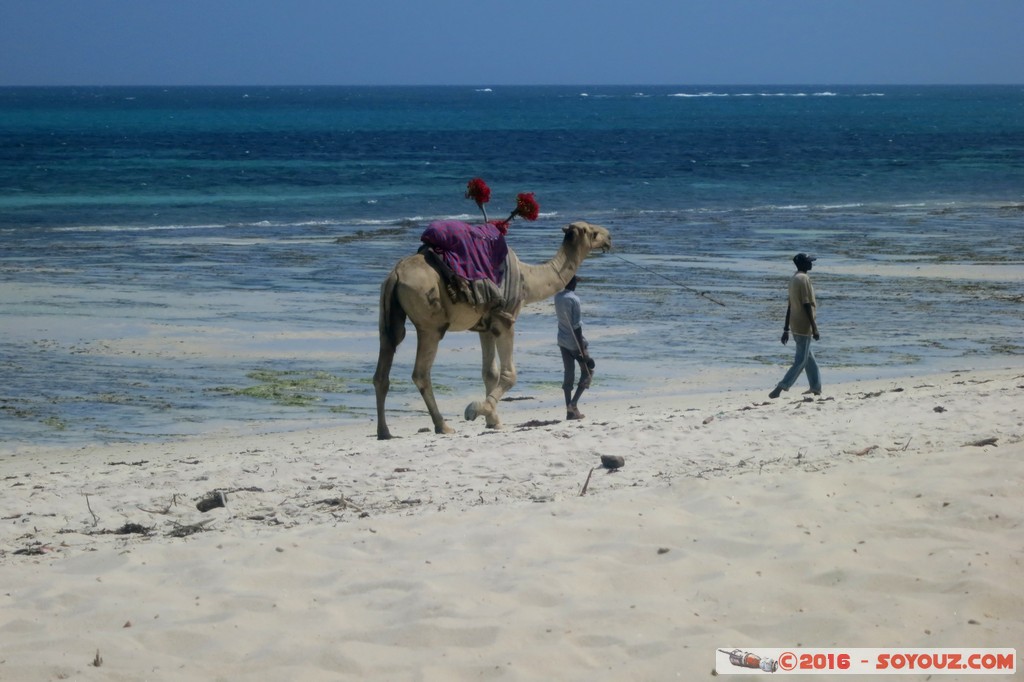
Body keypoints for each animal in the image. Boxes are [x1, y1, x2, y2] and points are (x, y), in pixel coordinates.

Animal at [373, 221, 611, 440]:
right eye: (593, 232)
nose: (609, 237)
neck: (527, 279)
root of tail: (395, 275)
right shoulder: (505, 320)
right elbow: (509, 374)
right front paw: (474, 410)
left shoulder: (485, 327)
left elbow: (489, 373)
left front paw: (493, 421)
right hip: (430, 325)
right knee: (421, 373)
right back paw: (443, 426)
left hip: (388, 319)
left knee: (383, 369)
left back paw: (384, 432)